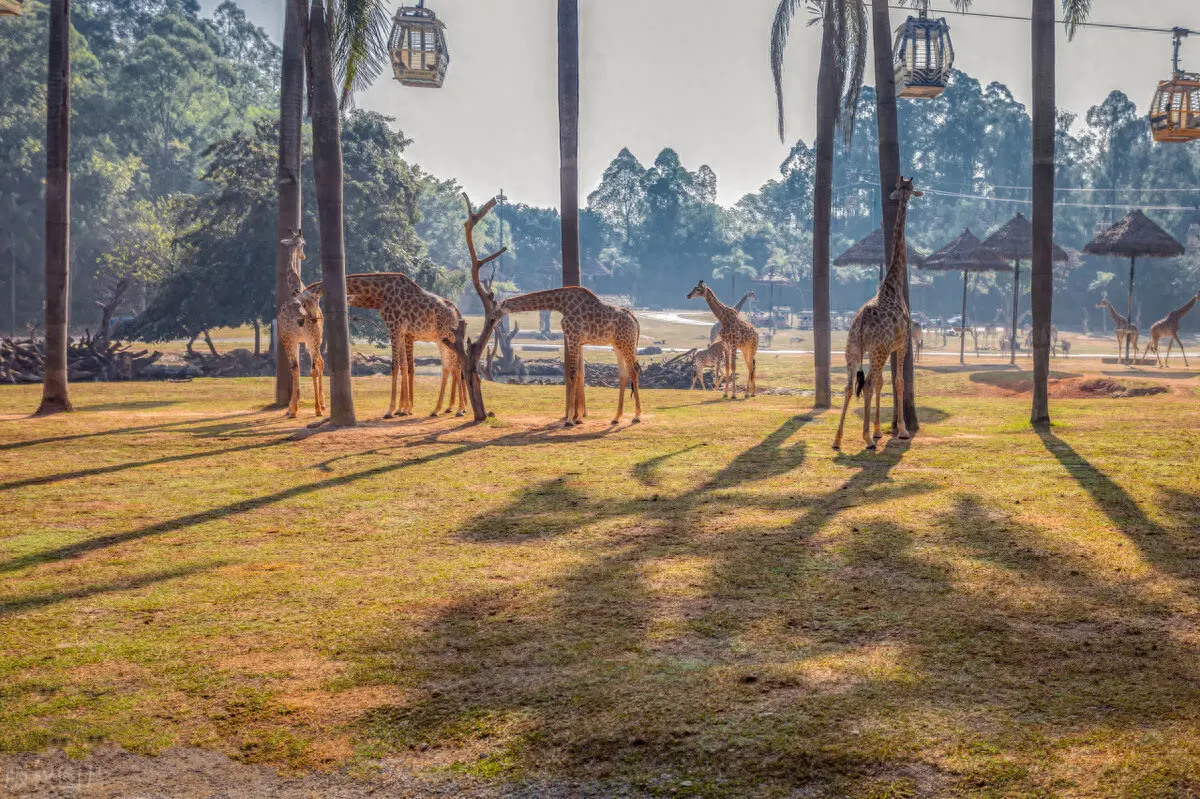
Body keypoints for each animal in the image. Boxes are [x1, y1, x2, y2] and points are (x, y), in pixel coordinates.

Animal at [274, 229, 326, 417]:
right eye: (304, 243)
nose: (303, 256)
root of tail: (301, 317)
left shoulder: (293, 339)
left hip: (295, 339)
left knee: (299, 367)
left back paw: (296, 409)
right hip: (311, 338)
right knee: (313, 367)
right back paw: (316, 408)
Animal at [300, 271, 463, 412]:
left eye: (305, 303)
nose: (311, 320)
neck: (382, 294)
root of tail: (457, 312)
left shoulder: (395, 328)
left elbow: (395, 366)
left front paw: (391, 410)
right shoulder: (402, 332)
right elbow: (404, 366)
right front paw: (403, 408)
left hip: (446, 337)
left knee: (454, 365)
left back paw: (457, 409)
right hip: (443, 339)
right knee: (450, 366)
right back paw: (443, 408)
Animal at [496, 284, 643, 422]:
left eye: (496, 309)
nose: (494, 320)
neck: (561, 304)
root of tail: (635, 320)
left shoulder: (572, 337)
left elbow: (572, 374)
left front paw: (570, 419)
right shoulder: (578, 341)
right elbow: (579, 373)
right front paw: (578, 418)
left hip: (626, 342)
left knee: (633, 371)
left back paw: (637, 416)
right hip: (617, 344)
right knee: (623, 374)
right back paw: (616, 417)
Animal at [835, 177, 916, 451]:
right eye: (908, 189)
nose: (897, 195)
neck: (892, 284)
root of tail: (860, 324)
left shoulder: (886, 349)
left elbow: (883, 383)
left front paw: (880, 430)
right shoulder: (901, 344)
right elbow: (897, 382)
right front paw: (901, 430)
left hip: (853, 349)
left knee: (850, 386)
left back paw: (837, 439)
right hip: (877, 351)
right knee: (867, 384)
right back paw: (866, 438)